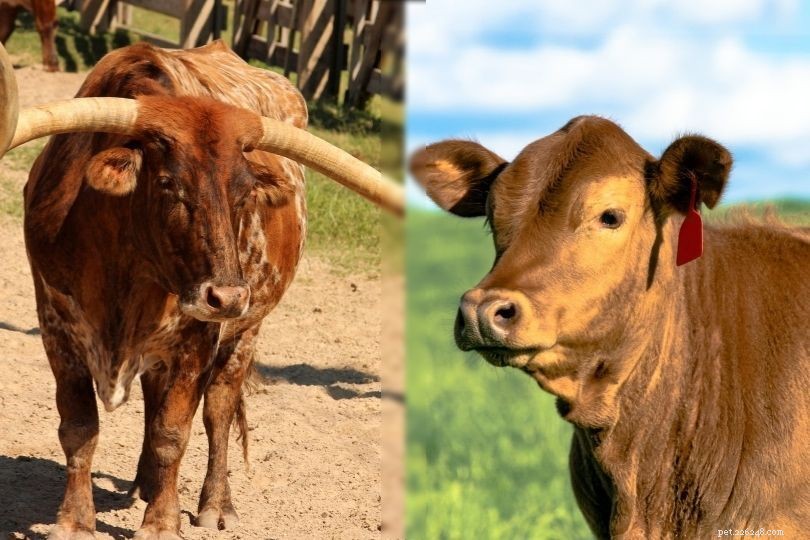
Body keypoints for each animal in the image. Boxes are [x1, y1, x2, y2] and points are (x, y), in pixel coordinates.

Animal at [0, 38, 398, 539]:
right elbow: (78, 426)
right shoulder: (56, 324)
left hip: (245, 332)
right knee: (154, 395)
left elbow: (173, 432)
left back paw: (215, 504)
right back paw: (144, 484)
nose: (228, 297)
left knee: (218, 409)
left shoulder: (198, 336)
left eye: (245, 192)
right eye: (169, 184)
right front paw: (74, 521)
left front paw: (161, 523)